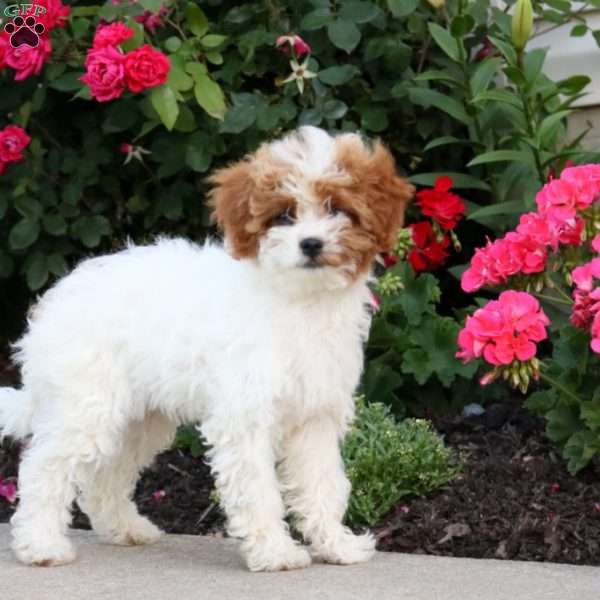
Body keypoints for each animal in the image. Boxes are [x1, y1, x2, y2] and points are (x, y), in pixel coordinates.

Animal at [0, 127, 412, 572]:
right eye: (284, 215)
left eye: (337, 208)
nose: (311, 244)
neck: (299, 300)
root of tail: (55, 301)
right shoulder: (245, 417)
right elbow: (258, 490)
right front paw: (275, 551)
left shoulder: (315, 417)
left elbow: (323, 484)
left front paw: (336, 545)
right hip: (87, 404)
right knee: (43, 468)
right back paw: (41, 544)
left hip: (141, 418)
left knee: (105, 478)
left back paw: (125, 528)